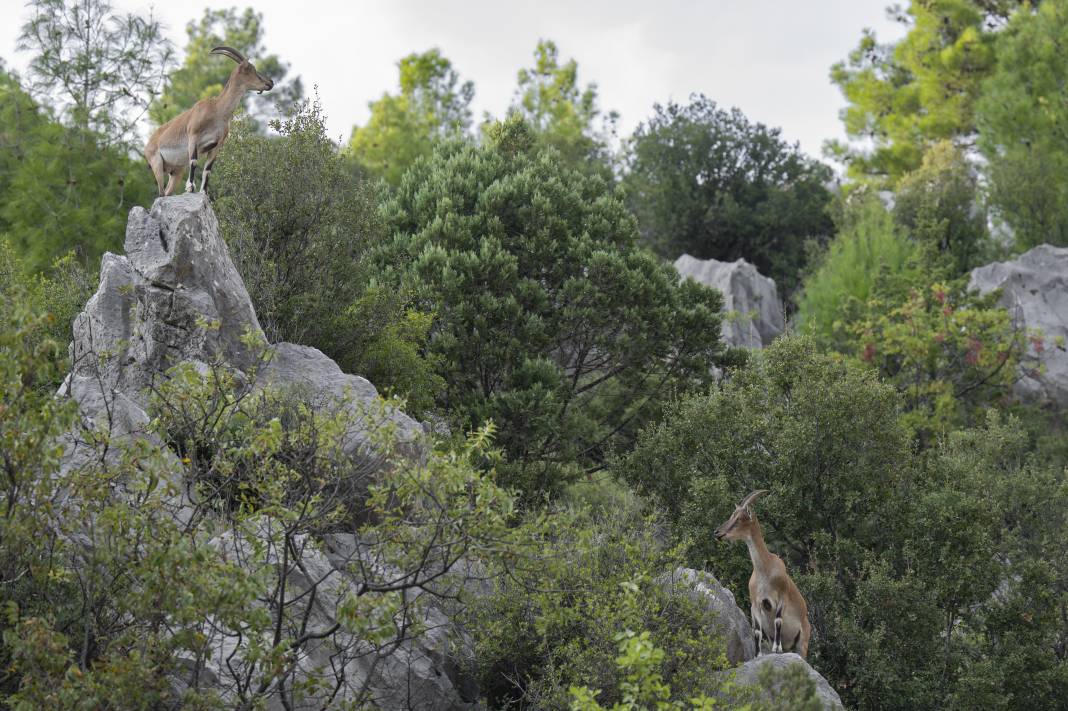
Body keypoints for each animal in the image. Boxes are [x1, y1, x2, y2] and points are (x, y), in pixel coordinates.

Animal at [144, 45, 273, 195]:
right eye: (251, 69)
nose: (270, 82)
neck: (217, 110)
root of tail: (148, 145)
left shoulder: (216, 145)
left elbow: (208, 170)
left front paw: (204, 192)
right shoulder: (193, 136)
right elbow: (194, 161)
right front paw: (190, 187)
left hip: (176, 171)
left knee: (167, 192)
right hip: (156, 163)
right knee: (160, 192)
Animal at [713, 491, 811, 657]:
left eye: (739, 518)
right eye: (732, 515)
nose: (717, 532)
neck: (765, 569)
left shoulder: (781, 597)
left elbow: (778, 621)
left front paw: (776, 649)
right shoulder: (755, 603)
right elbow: (757, 632)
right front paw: (758, 655)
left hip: (802, 643)